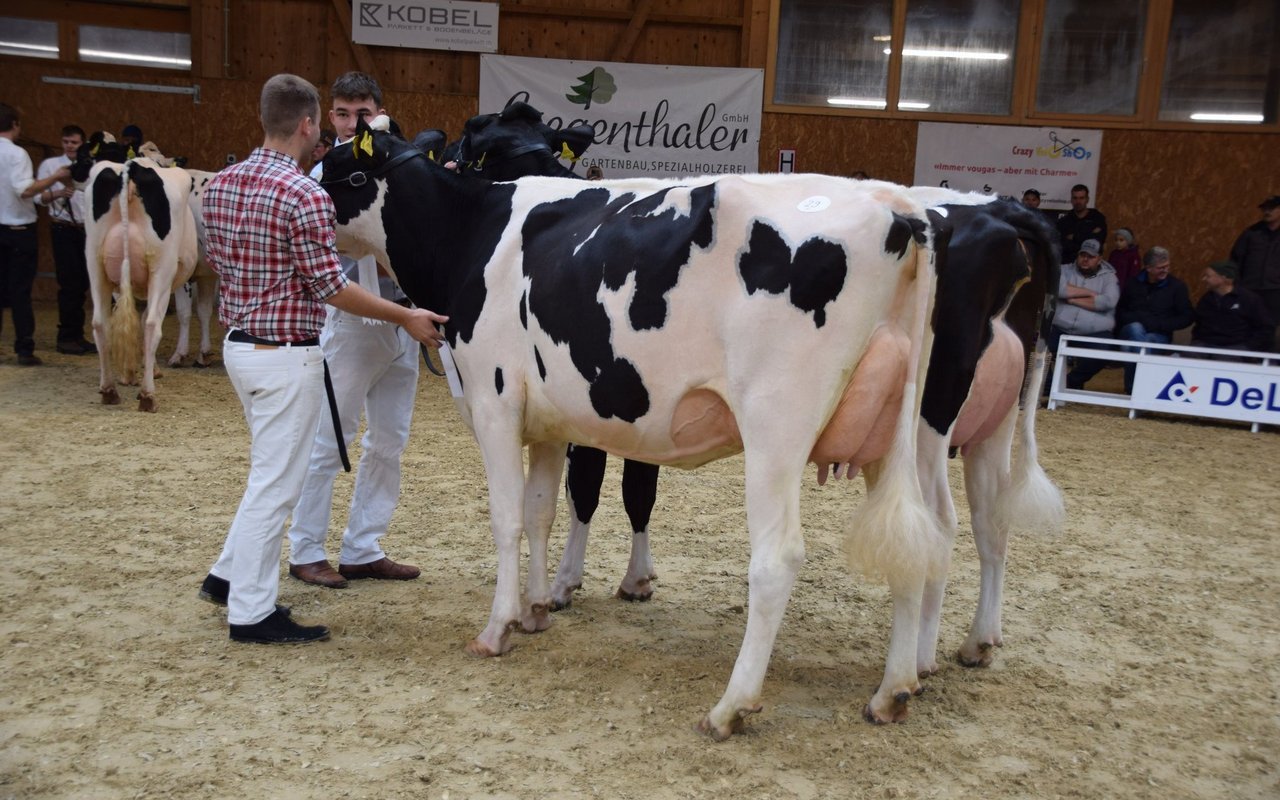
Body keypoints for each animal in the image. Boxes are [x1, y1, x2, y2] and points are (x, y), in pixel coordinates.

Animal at [83, 157, 199, 411]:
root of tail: (131, 167)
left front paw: (130, 374)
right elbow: (146, 319)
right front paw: (149, 370)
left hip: (95, 264)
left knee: (100, 323)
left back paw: (109, 389)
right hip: (162, 270)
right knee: (152, 324)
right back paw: (148, 395)